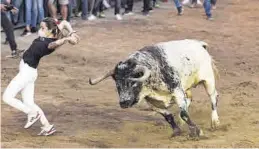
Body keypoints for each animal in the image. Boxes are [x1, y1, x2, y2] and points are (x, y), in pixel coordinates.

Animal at [89, 39, 219, 137]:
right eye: (117, 85)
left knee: (213, 98)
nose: (124, 102)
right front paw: (177, 131)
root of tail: (200, 44)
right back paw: (182, 123)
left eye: (133, 83)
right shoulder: (151, 101)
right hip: (187, 87)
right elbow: (168, 116)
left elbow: (184, 113)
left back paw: (215, 122)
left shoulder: (177, 91)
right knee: (189, 100)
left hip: (208, 80)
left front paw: (197, 131)